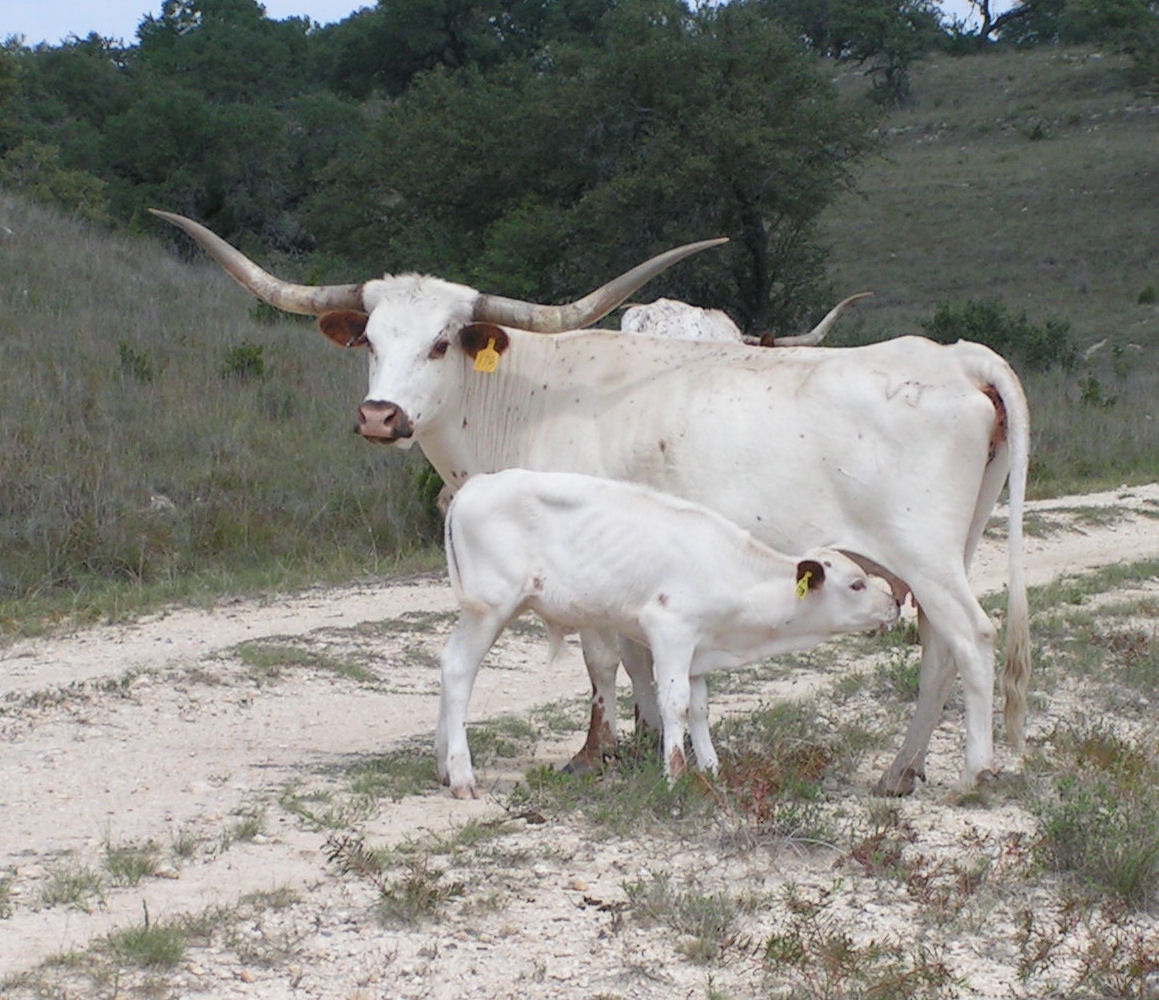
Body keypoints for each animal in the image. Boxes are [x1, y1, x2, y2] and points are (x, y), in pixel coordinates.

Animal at [438, 469, 901, 798]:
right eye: (856, 584)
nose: (895, 602)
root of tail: (475, 485)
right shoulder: (670, 630)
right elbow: (674, 704)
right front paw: (675, 775)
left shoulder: (699, 648)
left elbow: (699, 708)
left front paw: (712, 769)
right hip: (489, 607)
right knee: (459, 670)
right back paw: (461, 775)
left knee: (447, 663)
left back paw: (442, 766)